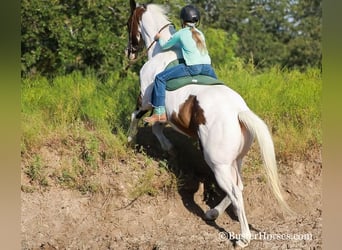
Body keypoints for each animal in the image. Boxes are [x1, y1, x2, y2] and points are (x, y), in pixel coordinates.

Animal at [125, 0, 292, 246]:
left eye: (128, 23)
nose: (129, 52)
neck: (162, 52)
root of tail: (239, 112)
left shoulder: (145, 100)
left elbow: (138, 117)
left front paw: (130, 140)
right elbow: (156, 126)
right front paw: (168, 148)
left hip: (218, 164)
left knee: (235, 192)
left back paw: (243, 238)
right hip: (235, 161)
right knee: (239, 186)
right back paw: (212, 212)